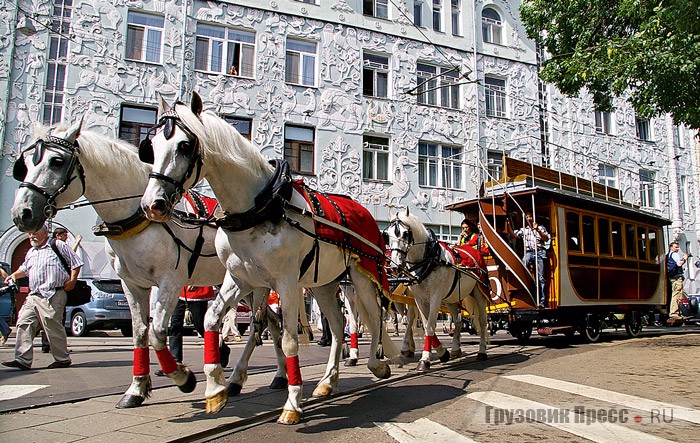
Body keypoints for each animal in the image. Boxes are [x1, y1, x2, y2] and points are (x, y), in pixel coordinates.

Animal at [8, 123, 288, 408]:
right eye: (25, 164)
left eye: (56, 161)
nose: (22, 214)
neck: (137, 216)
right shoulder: (131, 283)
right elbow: (141, 332)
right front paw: (136, 389)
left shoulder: (170, 281)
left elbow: (157, 332)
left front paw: (183, 377)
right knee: (272, 323)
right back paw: (274, 376)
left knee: (262, 325)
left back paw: (242, 376)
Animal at [140, 93, 400, 424]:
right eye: (151, 145)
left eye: (185, 146)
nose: (153, 204)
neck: (261, 206)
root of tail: (367, 215)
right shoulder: (240, 279)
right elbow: (212, 318)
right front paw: (215, 389)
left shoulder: (286, 282)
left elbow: (288, 339)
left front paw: (292, 403)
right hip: (323, 284)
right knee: (338, 323)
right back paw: (328, 381)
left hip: (362, 276)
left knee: (373, 318)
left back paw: (377, 365)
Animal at [382, 209, 492, 372]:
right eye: (387, 235)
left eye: (405, 233)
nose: (395, 267)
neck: (429, 259)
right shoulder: (420, 299)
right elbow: (426, 324)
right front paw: (442, 352)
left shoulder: (435, 297)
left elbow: (429, 326)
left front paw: (425, 360)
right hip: (452, 298)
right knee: (458, 321)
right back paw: (455, 349)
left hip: (479, 293)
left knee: (483, 322)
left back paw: (482, 351)